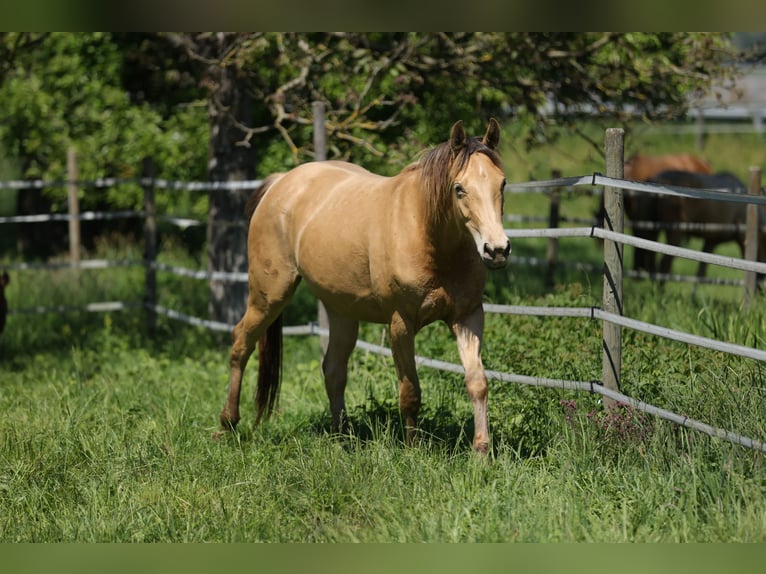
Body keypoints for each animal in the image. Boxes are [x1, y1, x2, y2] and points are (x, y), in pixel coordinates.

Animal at [218, 119, 511, 454]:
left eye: (502, 184)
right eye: (459, 188)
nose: (497, 250)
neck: (426, 233)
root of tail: (280, 183)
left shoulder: (468, 318)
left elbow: (477, 383)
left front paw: (481, 452)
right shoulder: (401, 323)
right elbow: (410, 391)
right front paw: (412, 450)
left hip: (341, 311)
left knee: (333, 370)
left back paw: (341, 438)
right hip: (269, 296)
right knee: (241, 343)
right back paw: (228, 424)